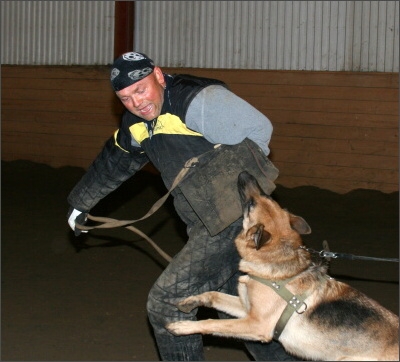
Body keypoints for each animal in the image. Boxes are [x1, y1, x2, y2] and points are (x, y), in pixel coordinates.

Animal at [167, 171, 398, 360]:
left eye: (251, 205)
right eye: (268, 197)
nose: (245, 174)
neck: (277, 272)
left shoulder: (256, 325)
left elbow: (212, 323)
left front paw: (183, 326)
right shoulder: (246, 310)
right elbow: (213, 294)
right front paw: (191, 301)